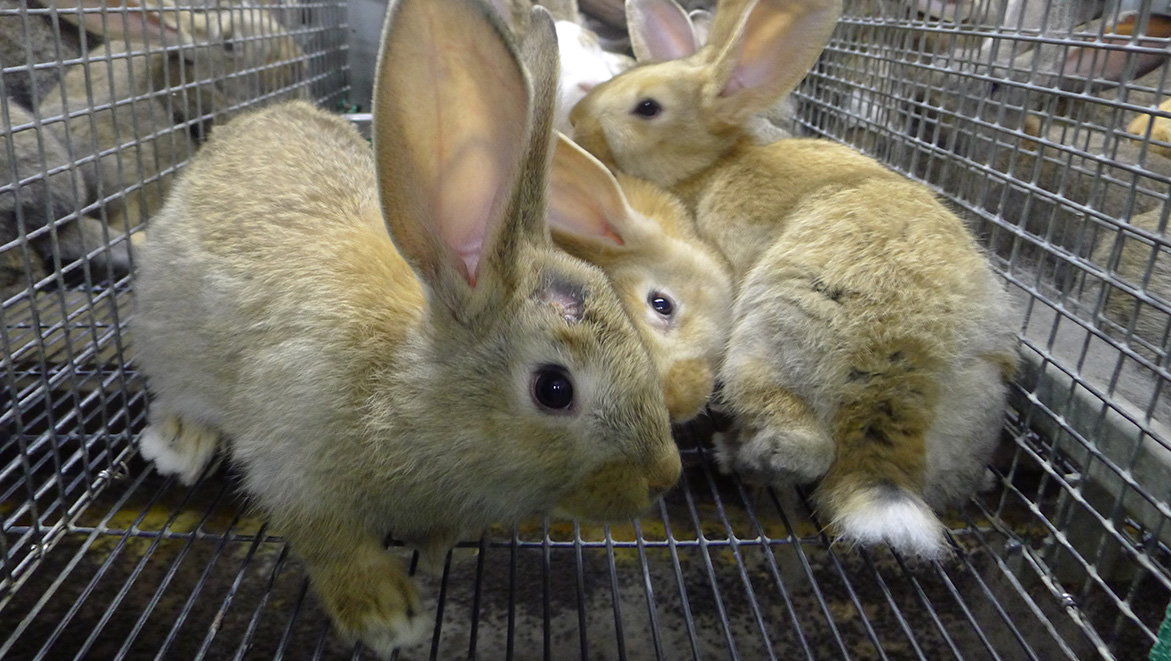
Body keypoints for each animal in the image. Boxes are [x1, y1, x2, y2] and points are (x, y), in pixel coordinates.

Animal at [133, 0, 680, 654]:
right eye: (554, 389)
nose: (664, 476)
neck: (405, 384)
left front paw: (434, 550)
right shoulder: (293, 458)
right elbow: (327, 539)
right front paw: (387, 615)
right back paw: (178, 443)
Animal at [570, 0, 1019, 559]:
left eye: (646, 107)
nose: (575, 121)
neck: (715, 164)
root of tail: (899, 361)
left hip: (769, 344)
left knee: (802, 445)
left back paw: (732, 453)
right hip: (976, 395)